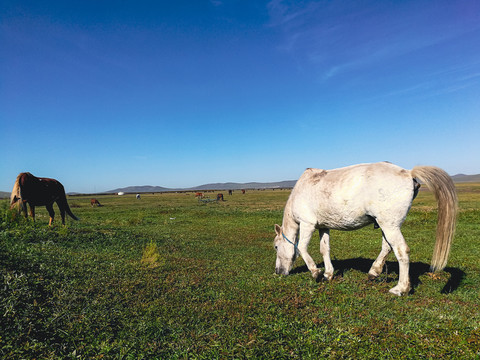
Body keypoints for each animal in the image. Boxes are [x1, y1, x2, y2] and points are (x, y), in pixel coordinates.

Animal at [274, 162, 458, 296]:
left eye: (276, 247)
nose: (278, 271)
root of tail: (408, 172)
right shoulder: (323, 227)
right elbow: (324, 249)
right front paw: (328, 274)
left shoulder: (307, 224)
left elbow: (301, 248)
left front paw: (316, 273)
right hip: (386, 224)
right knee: (387, 247)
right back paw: (374, 272)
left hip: (389, 225)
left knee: (401, 250)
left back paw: (400, 289)